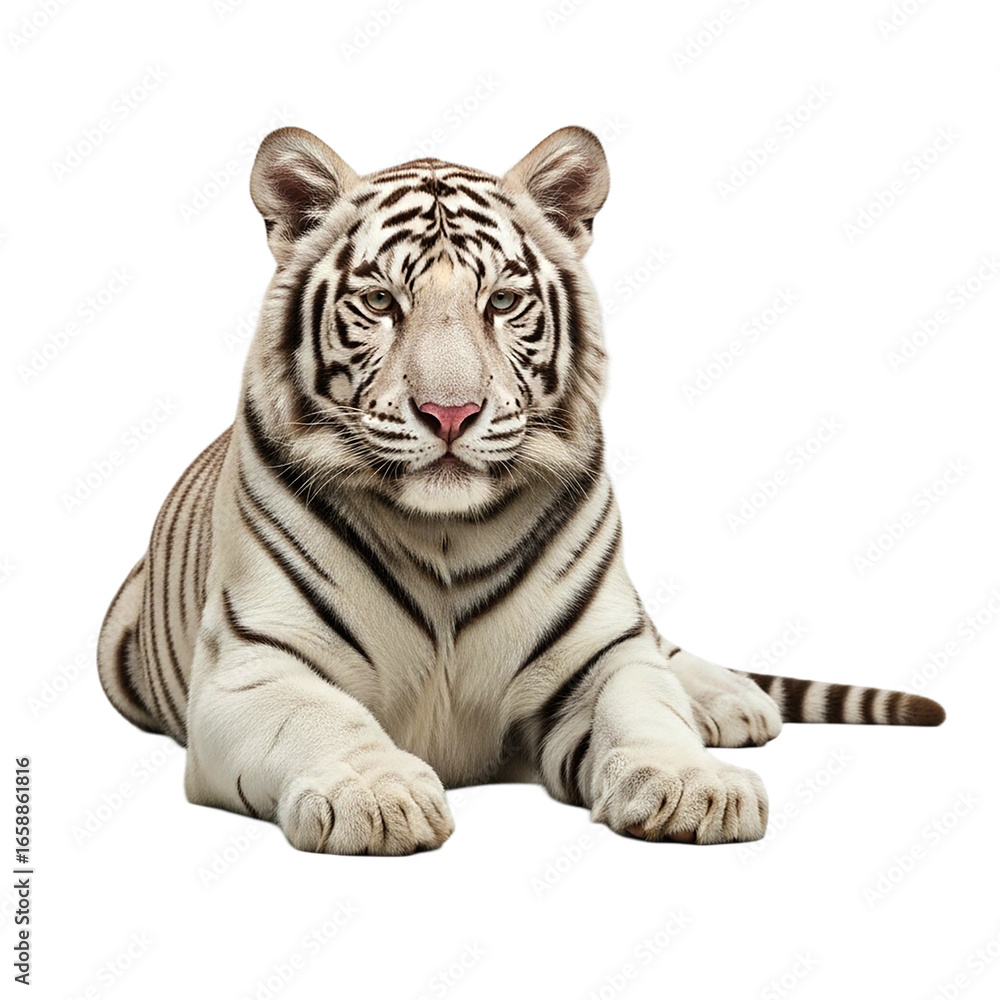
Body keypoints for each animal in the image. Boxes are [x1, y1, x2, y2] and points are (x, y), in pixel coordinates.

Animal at [96, 125, 945, 854]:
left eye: (502, 302)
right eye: (380, 302)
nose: (449, 412)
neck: (441, 531)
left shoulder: (599, 657)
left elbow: (647, 707)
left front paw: (690, 784)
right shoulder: (255, 668)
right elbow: (322, 720)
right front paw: (375, 795)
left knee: (663, 646)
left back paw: (730, 700)